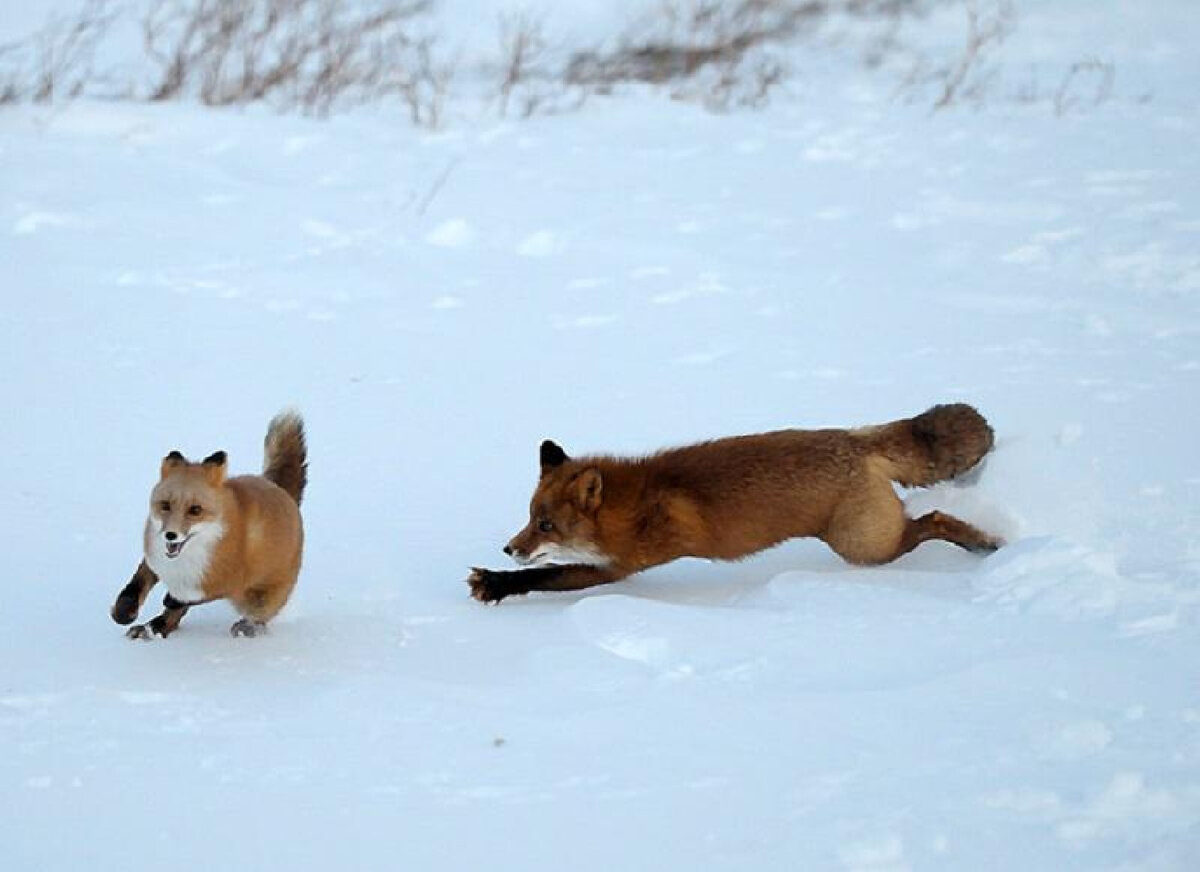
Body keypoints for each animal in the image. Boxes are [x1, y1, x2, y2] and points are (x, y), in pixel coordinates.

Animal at [112, 410, 309, 642]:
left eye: (195, 510)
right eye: (165, 506)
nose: (170, 535)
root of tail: (281, 491)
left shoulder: (225, 582)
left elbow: (190, 598)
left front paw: (172, 600)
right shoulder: (155, 561)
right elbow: (135, 586)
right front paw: (123, 612)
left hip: (259, 599)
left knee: (257, 617)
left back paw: (246, 627)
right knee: (172, 619)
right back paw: (152, 628)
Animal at [468, 403, 1003, 604]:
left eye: (545, 525)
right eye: (529, 519)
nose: (508, 549)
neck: (636, 501)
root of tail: (854, 440)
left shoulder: (618, 566)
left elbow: (547, 575)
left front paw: (496, 583)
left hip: (864, 548)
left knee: (935, 519)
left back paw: (985, 543)